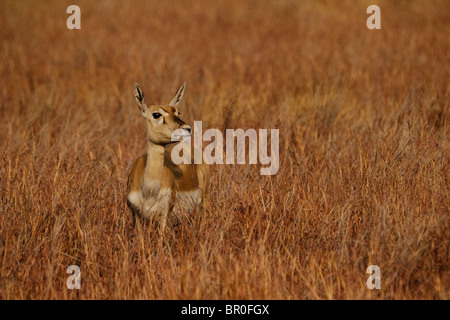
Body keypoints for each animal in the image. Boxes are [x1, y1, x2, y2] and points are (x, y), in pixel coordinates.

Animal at [127, 82, 210, 230]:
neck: (149, 191)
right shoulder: (136, 214)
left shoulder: (164, 215)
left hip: (201, 203)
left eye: (177, 112)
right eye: (156, 114)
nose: (187, 129)